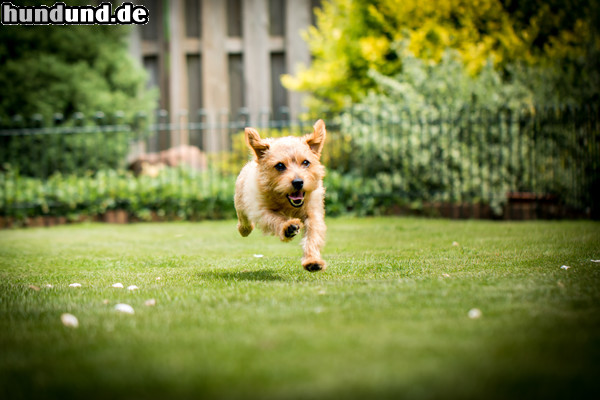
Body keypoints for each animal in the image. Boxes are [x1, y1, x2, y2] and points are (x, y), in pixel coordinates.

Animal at [234, 117, 328, 270]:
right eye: (279, 165)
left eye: (306, 162)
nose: (298, 182)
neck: (286, 203)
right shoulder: (262, 211)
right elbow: (275, 219)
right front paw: (288, 227)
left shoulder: (312, 213)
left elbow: (312, 236)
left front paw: (312, 260)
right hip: (241, 202)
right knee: (243, 219)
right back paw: (244, 229)